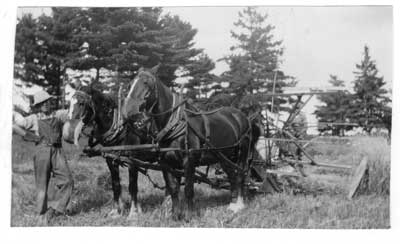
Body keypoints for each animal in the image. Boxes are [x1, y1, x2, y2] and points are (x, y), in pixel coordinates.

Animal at [69, 84, 147, 219]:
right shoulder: (111, 160)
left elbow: (132, 187)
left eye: (81, 103)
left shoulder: (132, 162)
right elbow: (116, 185)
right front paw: (116, 212)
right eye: (70, 101)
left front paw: (133, 213)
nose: (71, 122)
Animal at [122, 65, 260, 219]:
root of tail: (244, 117)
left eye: (146, 83)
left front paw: (189, 215)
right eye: (130, 85)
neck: (174, 124)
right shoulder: (165, 162)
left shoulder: (189, 159)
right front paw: (175, 215)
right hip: (225, 156)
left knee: (240, 174)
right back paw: (232, 203)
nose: (129, 111)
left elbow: (188, 188)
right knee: (232, 175)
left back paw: (239, 205)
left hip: (242, 152)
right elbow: (173, 188)